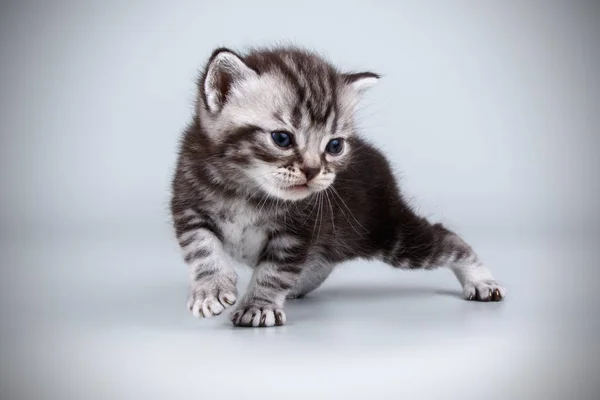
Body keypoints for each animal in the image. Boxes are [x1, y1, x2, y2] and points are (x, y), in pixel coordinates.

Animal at [169, 47, 506, 328]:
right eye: (282, 138)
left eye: (334, 145)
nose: (313, 171)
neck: (248, 189)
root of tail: (373, 152)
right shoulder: (187, 206)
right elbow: (202, 249)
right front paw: (211, 289)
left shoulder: (296, 233)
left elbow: (274, 271)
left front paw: (259, 305)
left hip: (390, 234)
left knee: (448, 240)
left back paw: (481, 281)